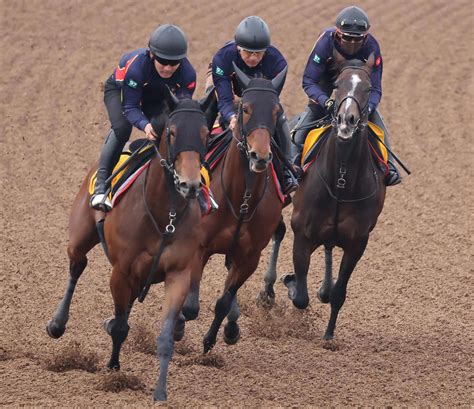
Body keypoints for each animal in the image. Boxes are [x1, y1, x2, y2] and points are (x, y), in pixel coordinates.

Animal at [46, 91, 213, 400]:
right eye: (172, 132)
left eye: (205, 134)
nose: (190, 185)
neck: (165, 216)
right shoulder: (121, 272)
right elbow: (121, 327)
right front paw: (113, 369)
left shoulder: (178, 274)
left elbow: (164, 335)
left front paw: (160, 392)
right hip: (80, 236)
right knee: (77, 266)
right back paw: (57, 323)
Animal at [180, 63, 286, 350]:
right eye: (246, 109)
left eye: (276, 111)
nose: (259, 156)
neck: (241, 198)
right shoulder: (200, 247)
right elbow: (190, 304)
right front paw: (179, 326)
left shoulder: (249, 257)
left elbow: (224, 301)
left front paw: (215, 337)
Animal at [266, 51, 386, 338]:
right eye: (337, 85)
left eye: (368, 88)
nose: (346, 120)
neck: (341, 180)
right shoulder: (303, 233)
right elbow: (300, 297)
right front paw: (291, 283)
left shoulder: (358, 243)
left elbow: (339, 293)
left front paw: (329, 335)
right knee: (277, 231)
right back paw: (267, 292)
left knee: (329, 247)